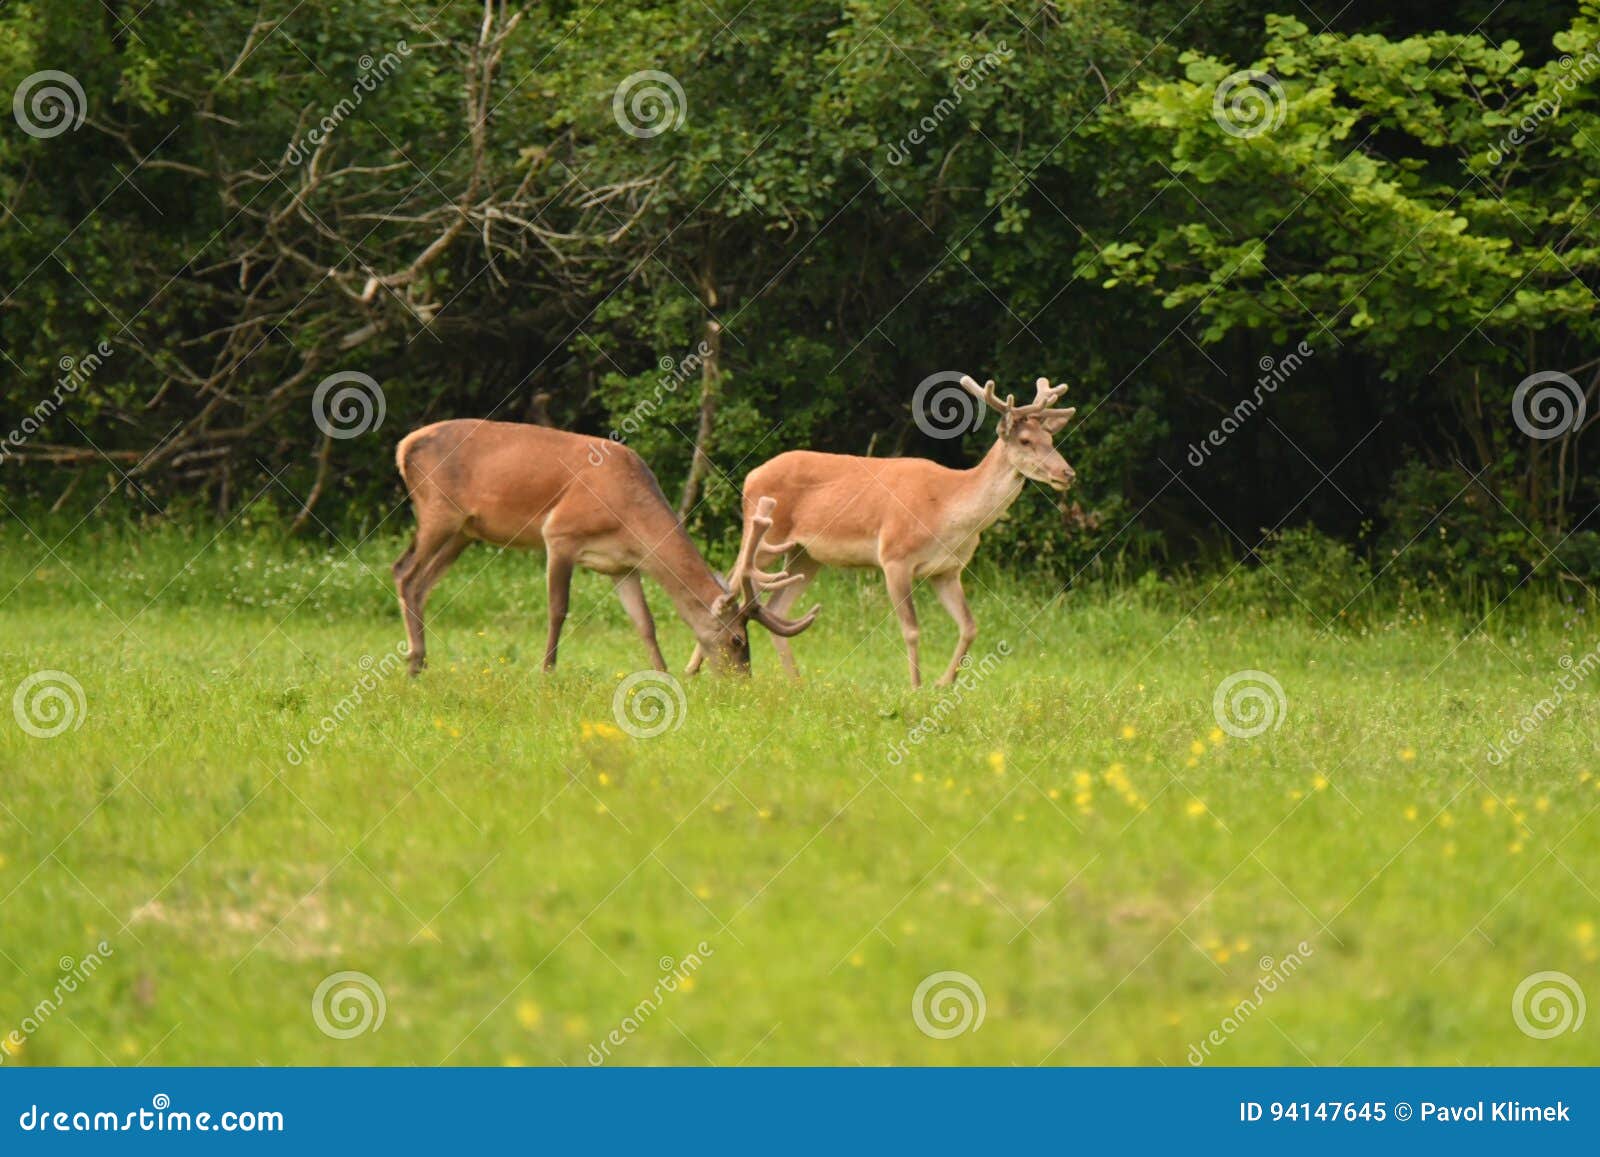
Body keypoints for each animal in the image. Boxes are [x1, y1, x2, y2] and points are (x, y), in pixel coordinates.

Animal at [392, 419, 819, 676]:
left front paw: (663, 674)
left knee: (422, 583)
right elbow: (558, 610)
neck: (626, 513)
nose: (742, 680)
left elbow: (644, 623)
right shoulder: (559, 535)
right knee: (404, 571)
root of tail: (403, 445)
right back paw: (414, 659)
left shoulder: (622, 566)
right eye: (737, 640)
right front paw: (547, 672)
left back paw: (420, 662)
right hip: (438, 511)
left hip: (464, 530)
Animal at [690, 375, 1076, 687]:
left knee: (776, 607)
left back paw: (796, 682)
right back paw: (694, 667)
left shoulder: (947, 570)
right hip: (767, 537)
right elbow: (912, 629)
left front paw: (944, 682)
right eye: (1025, 440)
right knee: (734, 577)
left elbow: (970, 626)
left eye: (1050, 438)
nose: (1067, 473)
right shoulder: (894, 557)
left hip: (806, 555)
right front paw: (916, 686)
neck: (948, 509)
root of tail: (750, 476)